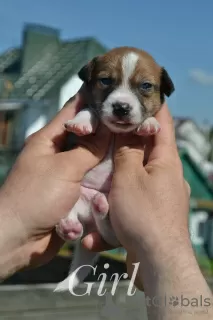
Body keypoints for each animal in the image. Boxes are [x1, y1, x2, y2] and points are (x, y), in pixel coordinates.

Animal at [53, 46, 175, 292]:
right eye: (106, 80)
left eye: (146, 86)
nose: (121, 107)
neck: (116, 133)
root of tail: (89, 222)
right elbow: (90, 110)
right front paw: (82, 122)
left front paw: (149, 123)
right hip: (73, 197)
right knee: (80, 226)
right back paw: (71, 225)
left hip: (117, 217)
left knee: (109, 233)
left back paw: (99, 207)